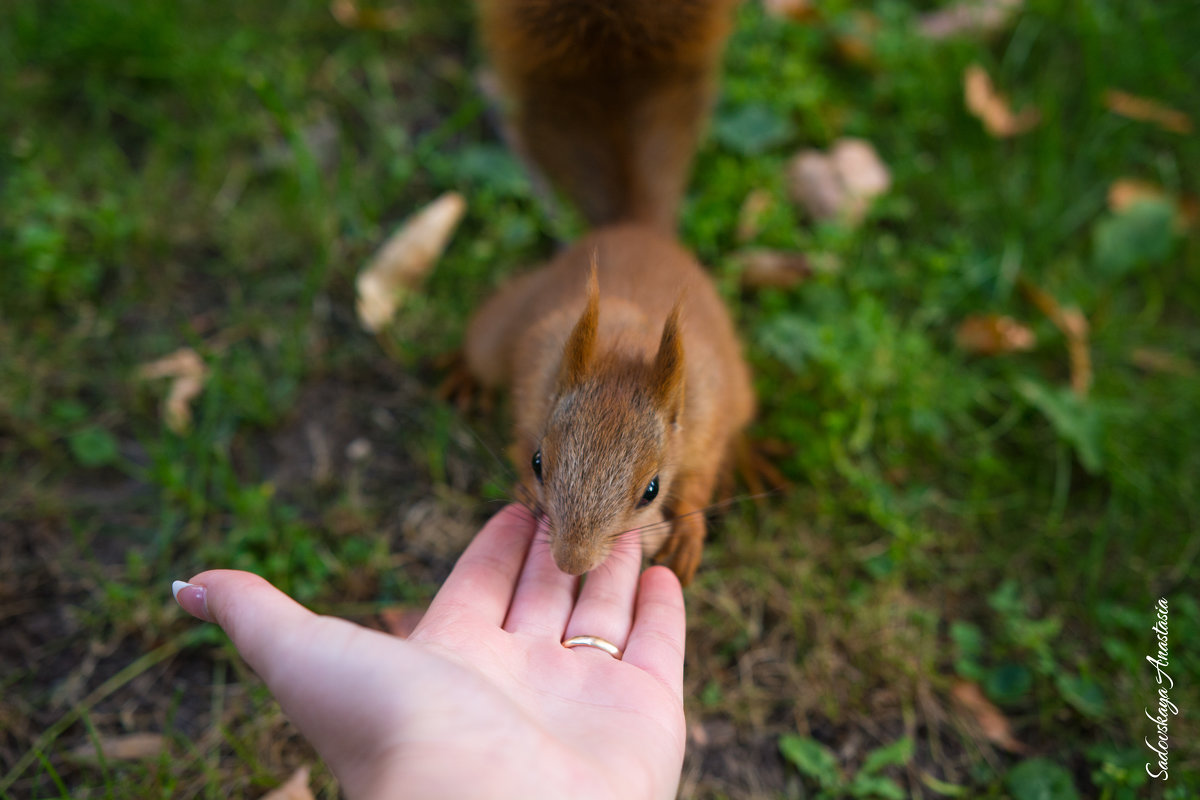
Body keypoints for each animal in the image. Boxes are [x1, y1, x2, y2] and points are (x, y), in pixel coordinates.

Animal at [463, 0, 753, 587]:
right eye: (539, 463)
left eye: (651, 491)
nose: (571, 563)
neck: (626, 346)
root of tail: (633, 227)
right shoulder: (532, 389)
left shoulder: (707, 410)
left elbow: (701, 475)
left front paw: (688, 533)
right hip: (504, 326)